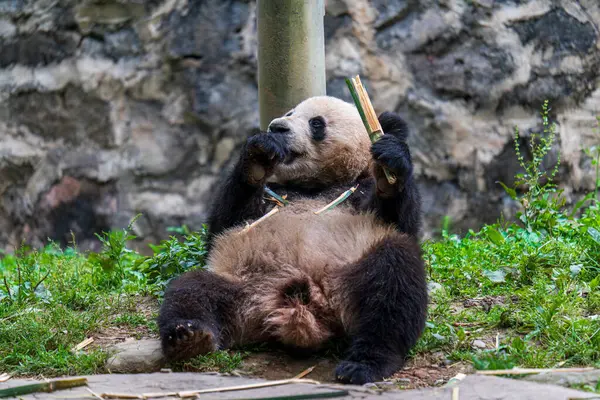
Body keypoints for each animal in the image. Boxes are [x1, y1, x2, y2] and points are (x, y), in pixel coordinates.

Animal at [157, 96, 428, 384]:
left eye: (316, 123)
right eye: (289, 112)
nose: (277, 127)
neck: (314, 186)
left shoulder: (360, 193)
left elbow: (400, 222)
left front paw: (390, 165)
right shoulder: (271, 196)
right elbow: (225, 224)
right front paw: (258, 155)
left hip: (352, 273)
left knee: (393, 284)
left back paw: (364, 364)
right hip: (242, 286)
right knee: (191, 291)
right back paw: (188, 337)